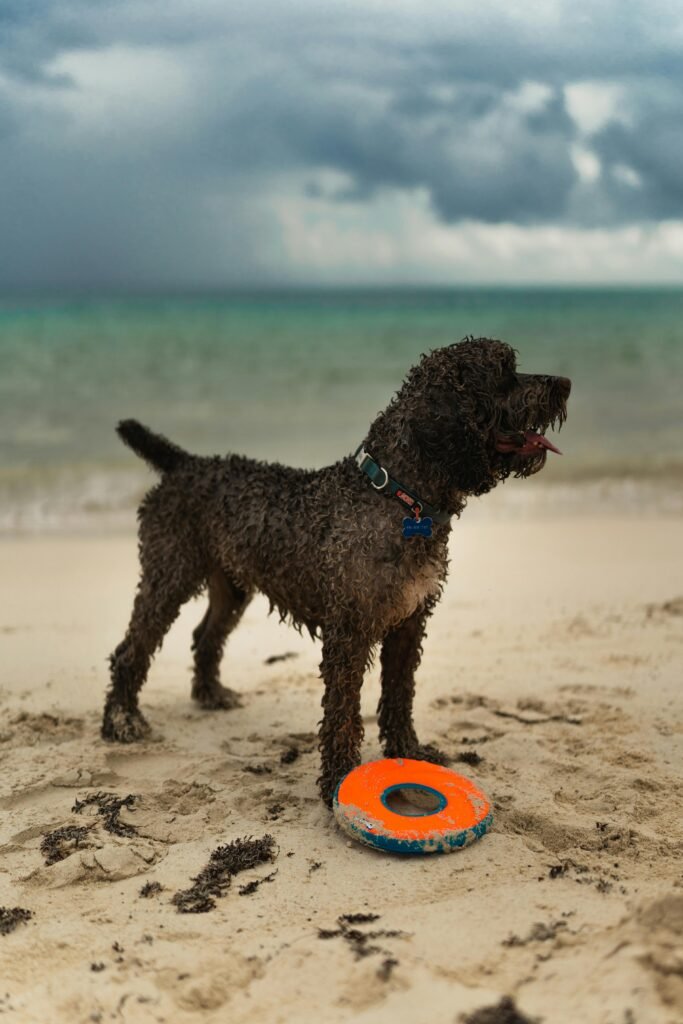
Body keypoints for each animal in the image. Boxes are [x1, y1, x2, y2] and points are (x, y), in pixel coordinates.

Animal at [102, 339, 573, 802]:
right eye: (503, 373)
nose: (565, 384)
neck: (399, 498)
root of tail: (185, 463)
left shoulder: (409, 624)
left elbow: (399, 696)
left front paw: (408, 751)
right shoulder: (349, 633)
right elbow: (343, 713)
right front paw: (340, 778)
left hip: (231, 586)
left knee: (205, 637)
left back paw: (210, 694)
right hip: (169, 574)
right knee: (129, 651)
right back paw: (122, 721)